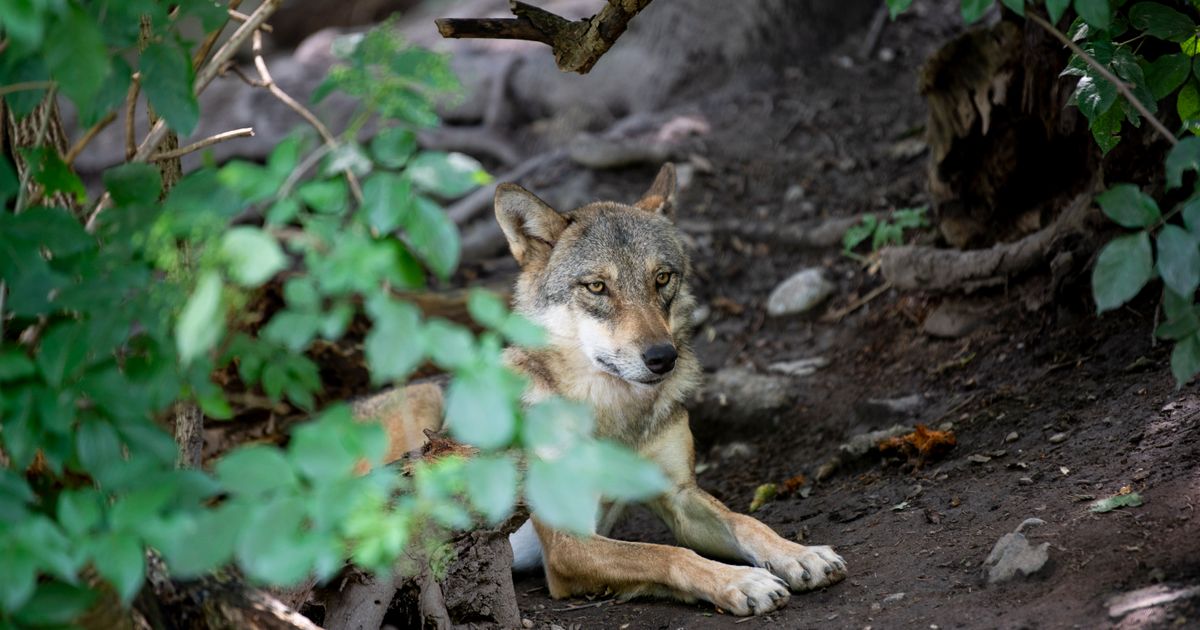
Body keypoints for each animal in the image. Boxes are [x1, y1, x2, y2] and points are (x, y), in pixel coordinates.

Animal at [364, 164, 846, 616]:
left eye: (662, 278)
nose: (662, 357)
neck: (616, 415)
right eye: (597, 286)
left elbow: (745, 522)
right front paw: (742, 582)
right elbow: (668, 554)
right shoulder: (568, 542)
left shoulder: (678, 495)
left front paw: (798, 555)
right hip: (423, 409)